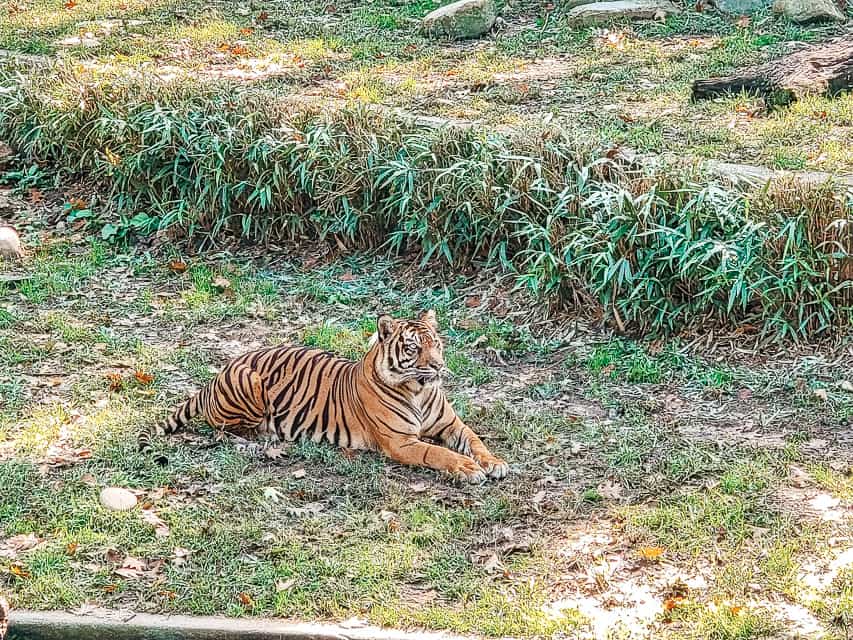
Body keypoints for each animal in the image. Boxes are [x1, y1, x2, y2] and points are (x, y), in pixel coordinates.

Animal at [140, 310, 508, 482]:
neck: (418, 389)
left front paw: (495, 463)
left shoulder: (451, 424)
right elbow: (439, 453)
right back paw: (262, 441)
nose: (438, 365)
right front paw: (467, 468)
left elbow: (475, 441)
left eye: (437, 344)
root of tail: (216, 375)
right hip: (250, 384)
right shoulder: (401, 442)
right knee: (223, 432)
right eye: (413, 348)